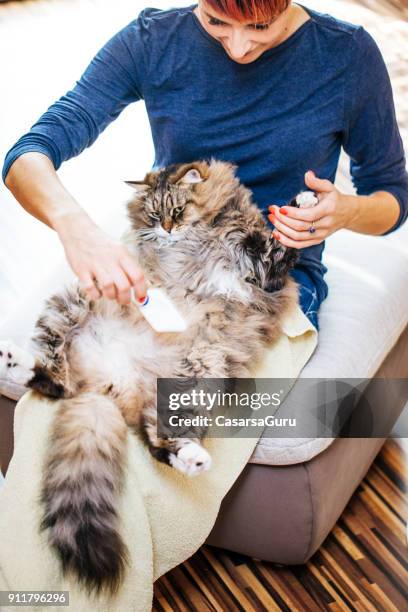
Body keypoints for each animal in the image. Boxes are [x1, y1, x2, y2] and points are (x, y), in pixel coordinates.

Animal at [0, 159, 318, 596]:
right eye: (155, 214)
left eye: (178, 210)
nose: (168, 229)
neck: (208, 231)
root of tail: (107, 383)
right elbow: (271, 246)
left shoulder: (264, 271)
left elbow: (273, 243)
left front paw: (301, 204)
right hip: (72, 304)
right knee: (57, 378)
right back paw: (16, 360)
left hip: (197, 379)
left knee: (153, 438)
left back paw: (192, 458)